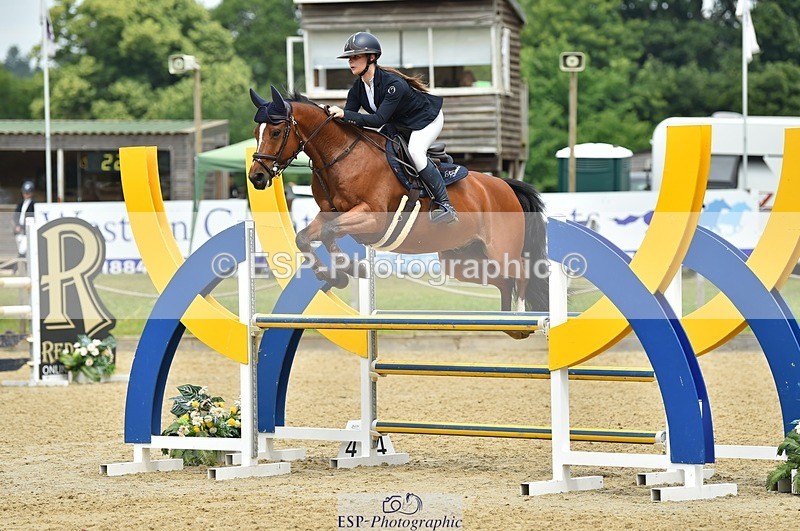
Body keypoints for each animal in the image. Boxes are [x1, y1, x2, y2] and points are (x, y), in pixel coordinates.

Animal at [248, 87, 548, 338]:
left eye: (275, 132)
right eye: (255, 134)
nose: (256, 178)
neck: (340, 155)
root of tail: (506, 186)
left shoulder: (370, 217)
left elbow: (329, 232)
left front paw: (351, 268)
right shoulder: (329, 213)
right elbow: (305, 237)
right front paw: (334, 275)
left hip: (499, 249)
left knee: (520, 272)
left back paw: (522, 319)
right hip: (462, 259)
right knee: (503, 281)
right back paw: (510, 324)